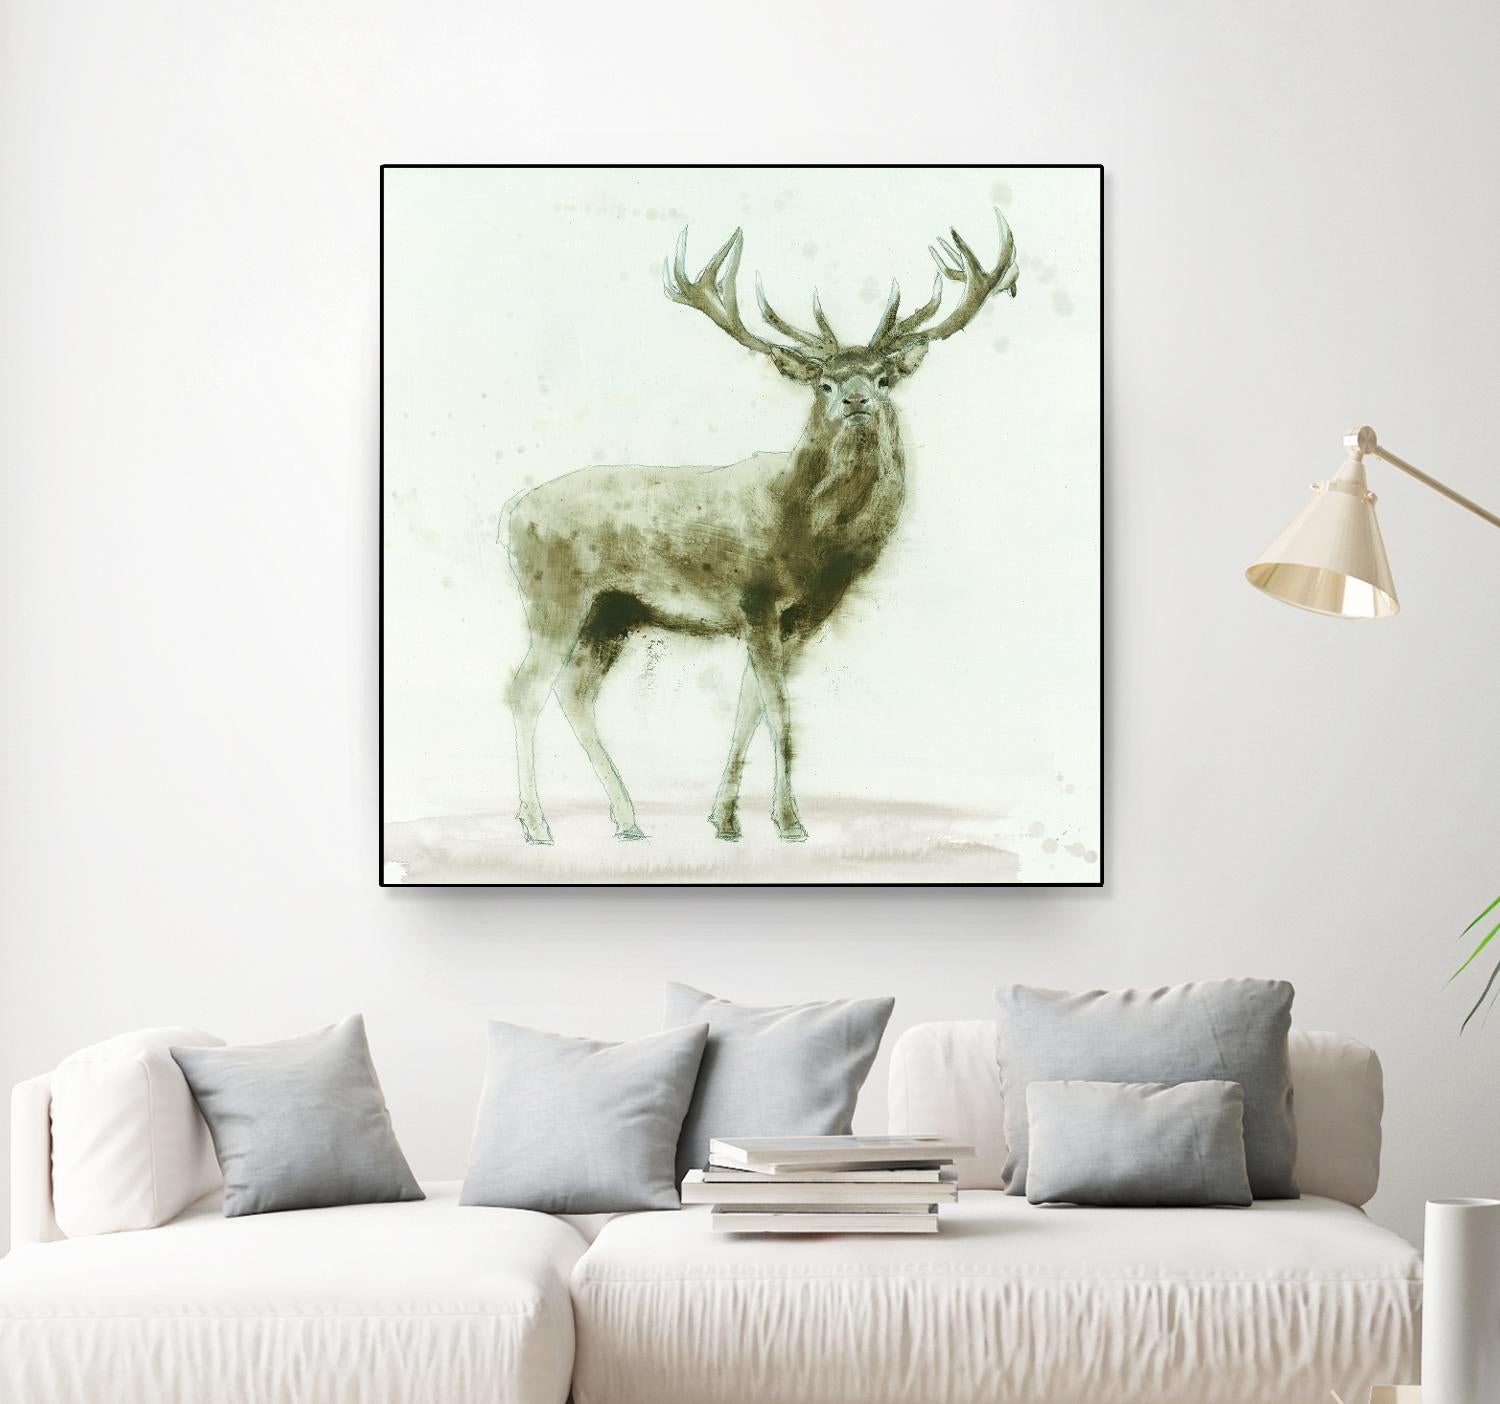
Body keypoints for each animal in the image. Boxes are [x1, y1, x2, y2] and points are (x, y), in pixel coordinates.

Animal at [504, 208, 1019, 846]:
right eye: (824, 382)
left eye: (882, 379)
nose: (854, 400)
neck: (806, 534)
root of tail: (510, 516)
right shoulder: (754, 599)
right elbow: (779, 710)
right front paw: (791, 822)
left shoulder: (800, 618)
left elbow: (749, 706)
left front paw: (725, 819)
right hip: (554, 594)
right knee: (525, 688)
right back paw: (537, 824)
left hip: (613, 613)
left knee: (574, 692)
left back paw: (627, 818)